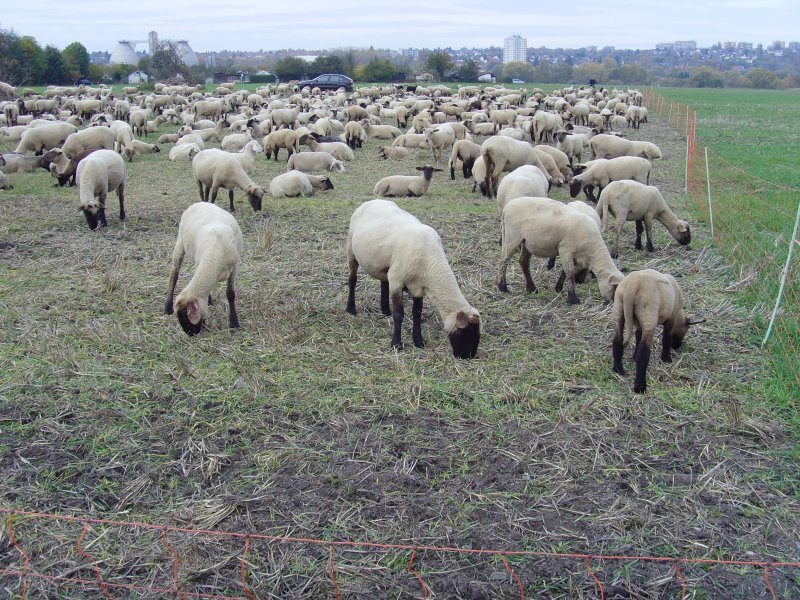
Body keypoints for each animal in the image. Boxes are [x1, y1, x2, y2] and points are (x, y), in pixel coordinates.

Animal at [346, 198, 482, 356]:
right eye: (468, 332)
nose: (467, 357)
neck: (429, 261)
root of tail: (373, 200)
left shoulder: (419, 287)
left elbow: (417, 313)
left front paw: (418, 341)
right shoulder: (397, 281)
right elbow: (399, 314)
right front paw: (396, 344)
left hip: (384, 263)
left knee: (383, 281)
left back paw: (385, 310)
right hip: (351, 250)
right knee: (352, 279)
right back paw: (351, 308)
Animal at [494, 195, 624, 304]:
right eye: (614, 288)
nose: (611, 303)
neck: (592, 249)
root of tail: (506, 208)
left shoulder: (574, 255)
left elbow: (566, 271)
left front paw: (559, 288)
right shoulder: (565, 249)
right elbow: (570, 273)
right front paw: (573, 299)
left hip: (526, 242)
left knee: (523, 262)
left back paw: (531, 288)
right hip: (512, 237)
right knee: (503, 260)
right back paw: (502, 287)